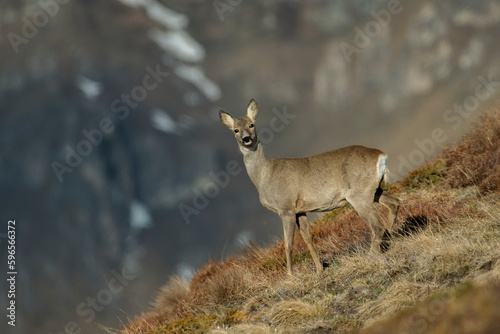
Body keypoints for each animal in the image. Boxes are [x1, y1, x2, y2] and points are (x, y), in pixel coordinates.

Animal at [219, 98, 398, 274]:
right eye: (235, 130)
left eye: (251, 125)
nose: (246, 139)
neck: (265, 175)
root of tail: (381, 155)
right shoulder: (300, 210)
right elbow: (307, 238)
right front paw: (319, 270)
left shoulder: (286, 208)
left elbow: (288, 244)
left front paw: (290, 276)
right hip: (373, 189)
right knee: (394, 203)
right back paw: (390, 239)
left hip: (358, 194)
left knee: (377, 225)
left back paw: (371, 255)